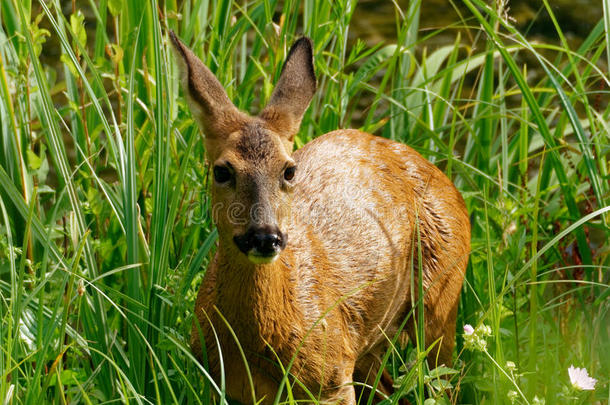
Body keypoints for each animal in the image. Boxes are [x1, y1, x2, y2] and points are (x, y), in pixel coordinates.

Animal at [170, 32, 470, 404]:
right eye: (222, 171)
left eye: (289, 169)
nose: (265, 237)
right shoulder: (217, 382)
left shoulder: (330, 380)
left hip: (441, 297)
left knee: (445, 382)